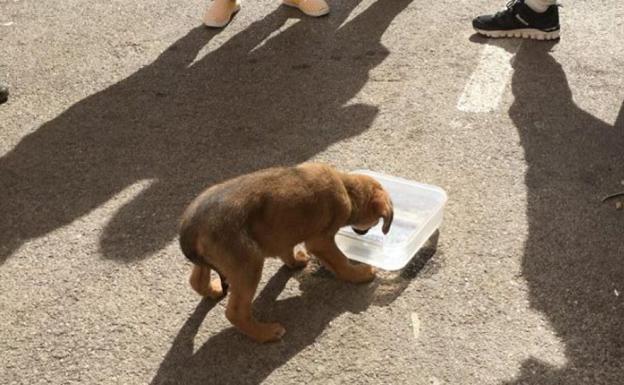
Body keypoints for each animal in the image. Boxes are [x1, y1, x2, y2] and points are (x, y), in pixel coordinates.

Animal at [178, 162, 392, 342]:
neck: (347, 189)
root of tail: (191, 229)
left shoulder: (283, 234)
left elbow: (287, 251)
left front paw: (296, 262)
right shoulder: (321, 241)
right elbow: (340, 261)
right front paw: (359, 274)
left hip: (212, 260)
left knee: (196, 280)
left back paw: (213, 291)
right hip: (249, 264)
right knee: (235, 312)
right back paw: (265, 333)